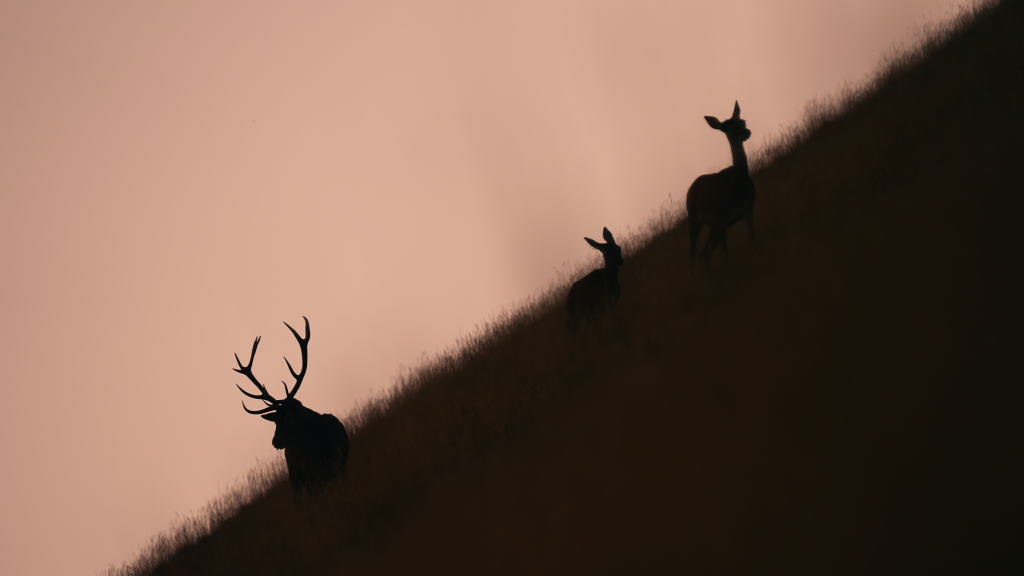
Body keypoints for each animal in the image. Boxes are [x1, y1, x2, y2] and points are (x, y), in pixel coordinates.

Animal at [233, 317, 349, 500]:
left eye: (289, 416)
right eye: (274, 422)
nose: (275, 441)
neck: (322, 446)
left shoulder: (342, 460)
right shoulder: (313, 475)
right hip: (296, 478)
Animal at [686, 101, 756, 269]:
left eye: (743, 121)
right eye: (727, 128)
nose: (746, 132)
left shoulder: (747, 209)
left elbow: (752, 240)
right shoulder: (720, 218)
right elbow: (725, 255)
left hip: (713, 228)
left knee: (704, 254)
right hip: (694, 218)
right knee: (693, 253)